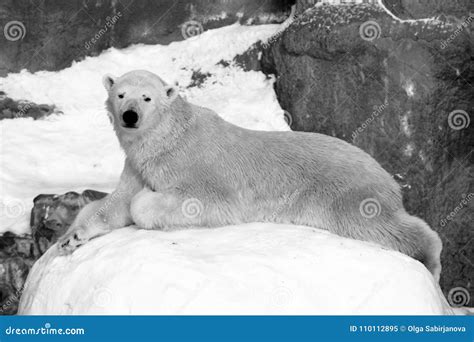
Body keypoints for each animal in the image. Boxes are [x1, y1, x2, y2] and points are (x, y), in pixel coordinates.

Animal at [58, 70, 440, 280]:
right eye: (120, 93)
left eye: (147, 97)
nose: (130, 115)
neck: (168, 138)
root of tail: (384, 173)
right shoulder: (138, 164)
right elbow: (115, 203)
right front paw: (71, 237)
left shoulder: (197, 163)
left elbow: (200, 201)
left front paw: (149, 202)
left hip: (343, 190)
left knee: (375, 222)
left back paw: (429, 256)